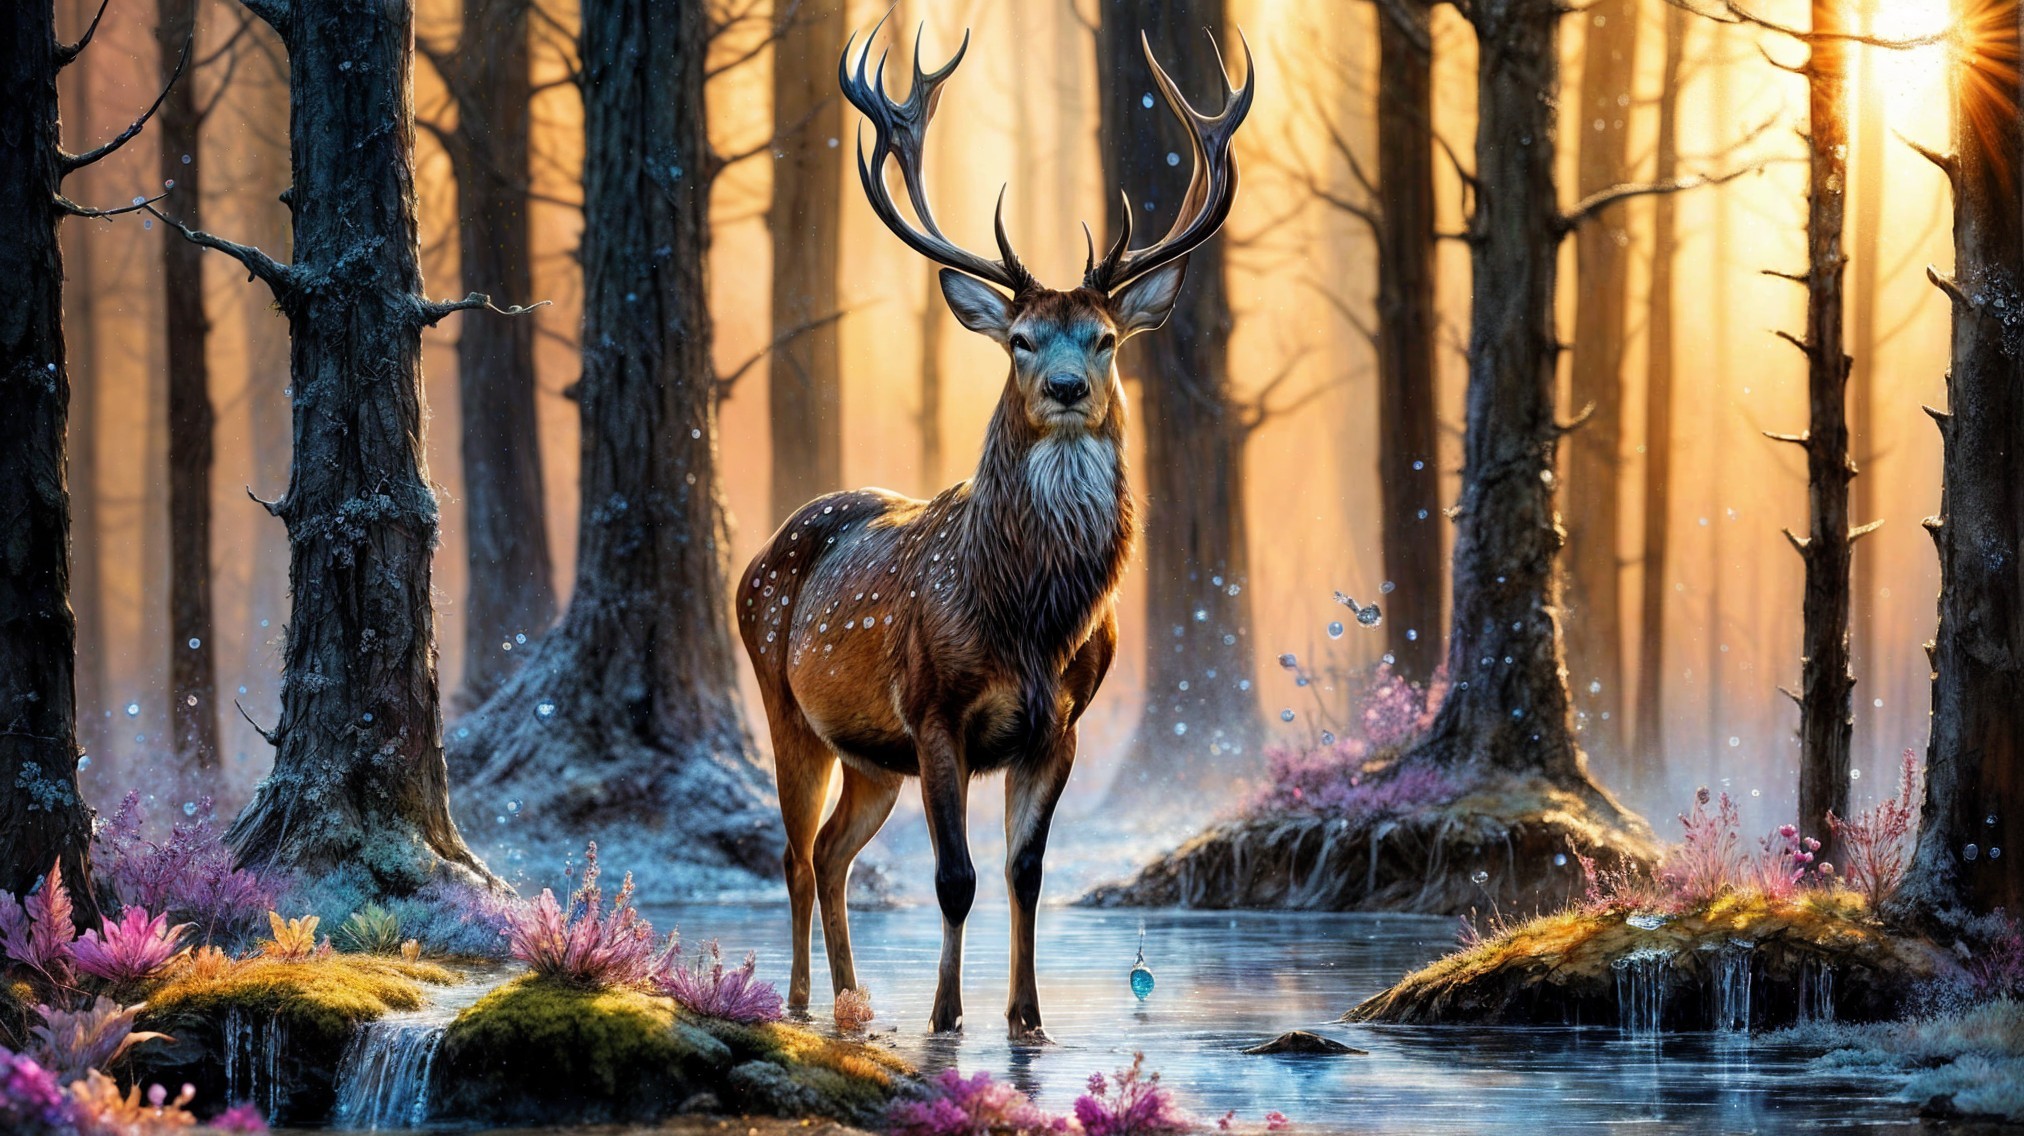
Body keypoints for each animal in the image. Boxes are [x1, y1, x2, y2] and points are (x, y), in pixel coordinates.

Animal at [736, 20, 1252, 1037]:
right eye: (1020, 339)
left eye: (1105, 338)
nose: (1068, 387)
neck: (1031, 619)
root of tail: (760, 557)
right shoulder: (936, 709)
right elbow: (956, 877)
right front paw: (946, 1017)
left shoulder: (1059, 727)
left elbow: (1025, 872)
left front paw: (1027, 1017)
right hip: (786, 704)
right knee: (793, 853)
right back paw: (800, 1001)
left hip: (871, 753)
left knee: (833, 853)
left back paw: (854, 1000)